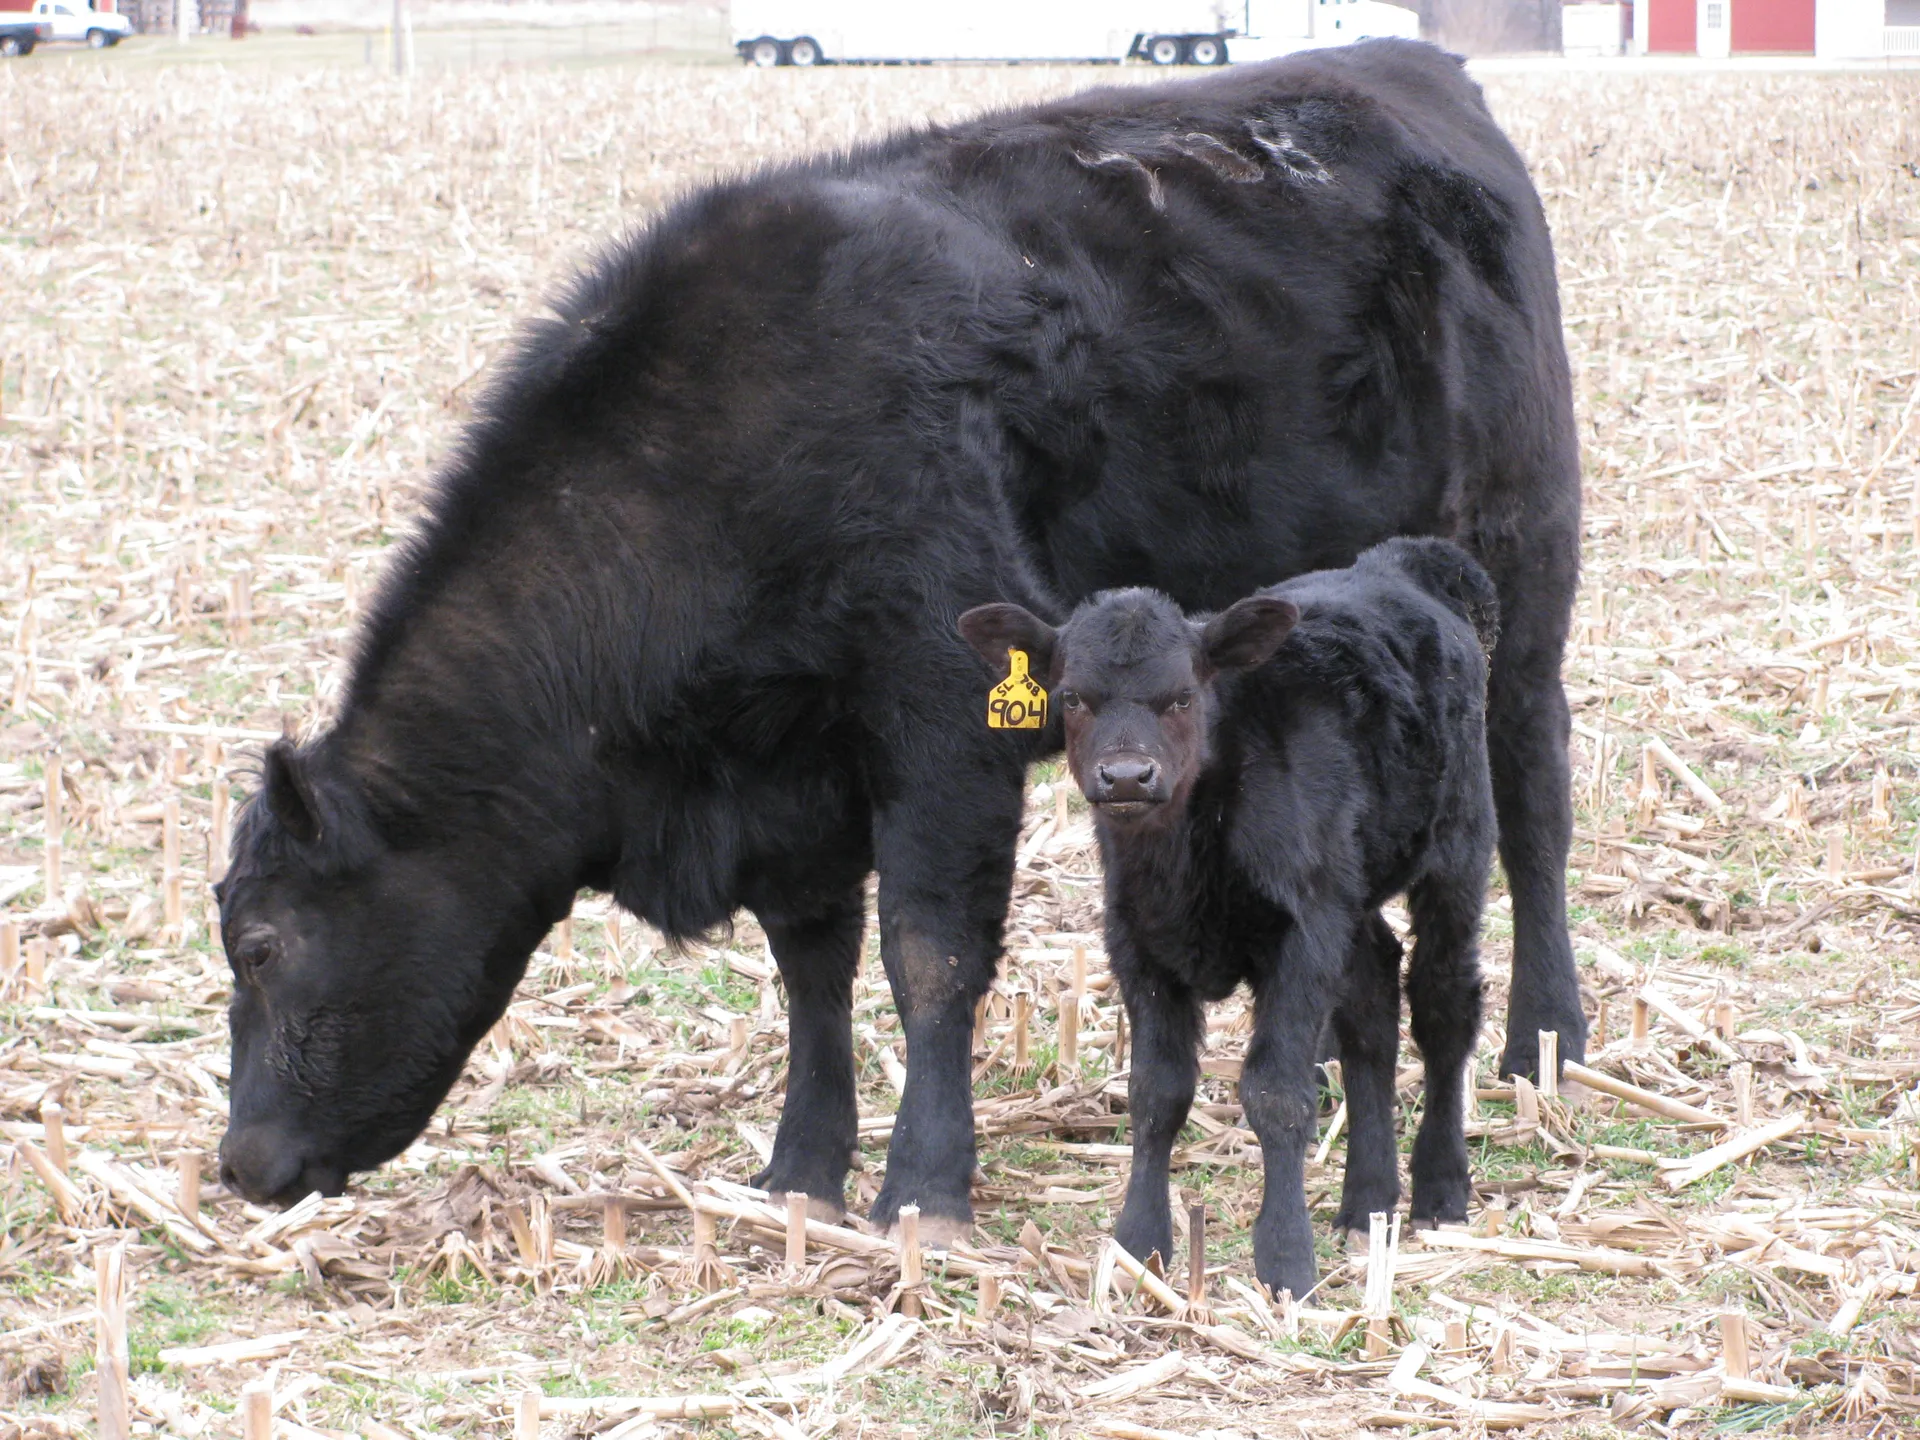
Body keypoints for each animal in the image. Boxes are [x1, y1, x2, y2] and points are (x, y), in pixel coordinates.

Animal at [957, 537, 1498, 1296]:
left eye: (1183, 695)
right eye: (1073, 697)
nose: (1127, 776)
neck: (1184, 862)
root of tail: (1399, 563)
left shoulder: (1301, 939)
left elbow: (1275, 1092)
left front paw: (1285, 1259)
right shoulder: (1136, 942)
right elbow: (1156, 1092)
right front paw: (1139, 1246)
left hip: (1456, 846)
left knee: (1442, 1004)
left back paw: (1441, 1189)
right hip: (1348, 892)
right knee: (1372, 1001)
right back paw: (1367, 1203)